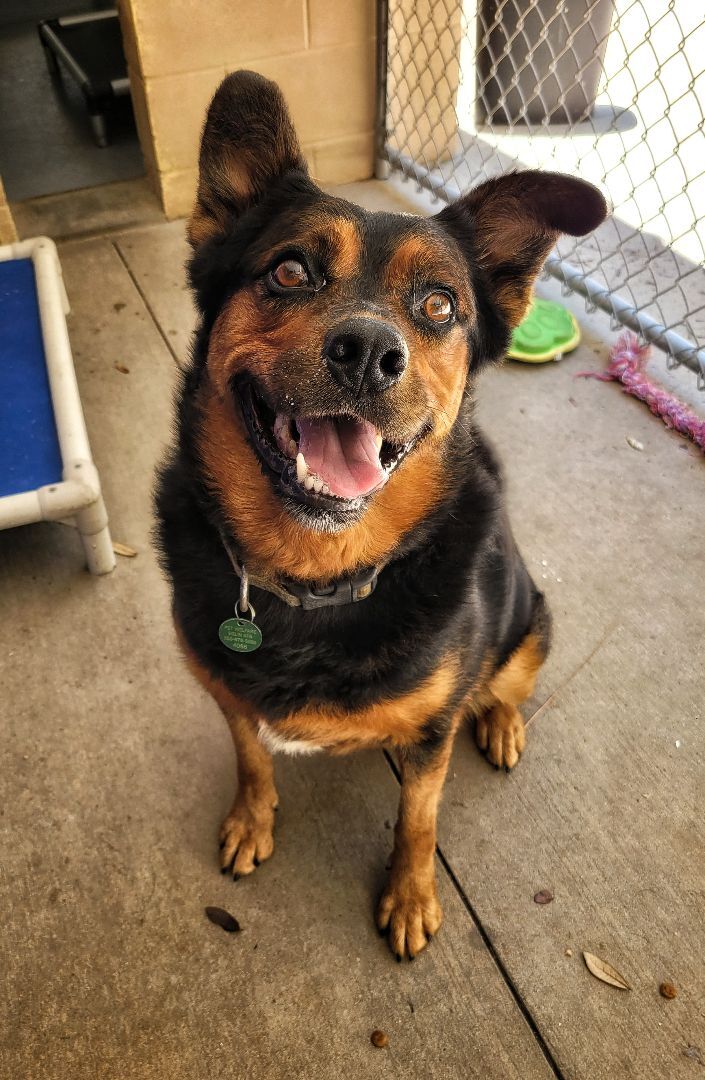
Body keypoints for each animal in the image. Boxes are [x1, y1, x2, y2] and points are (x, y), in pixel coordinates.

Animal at [154, 69, 604, 963]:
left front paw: (409, 895)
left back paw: (500, 723)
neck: (314, 576)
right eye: (289, 272)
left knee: (505, 682)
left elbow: (418, 818)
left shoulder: (428, 737)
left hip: (529, 622)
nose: (366, 352)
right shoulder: (225, 693)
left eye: (437, 306)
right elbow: (251, 758)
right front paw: (252, 818)